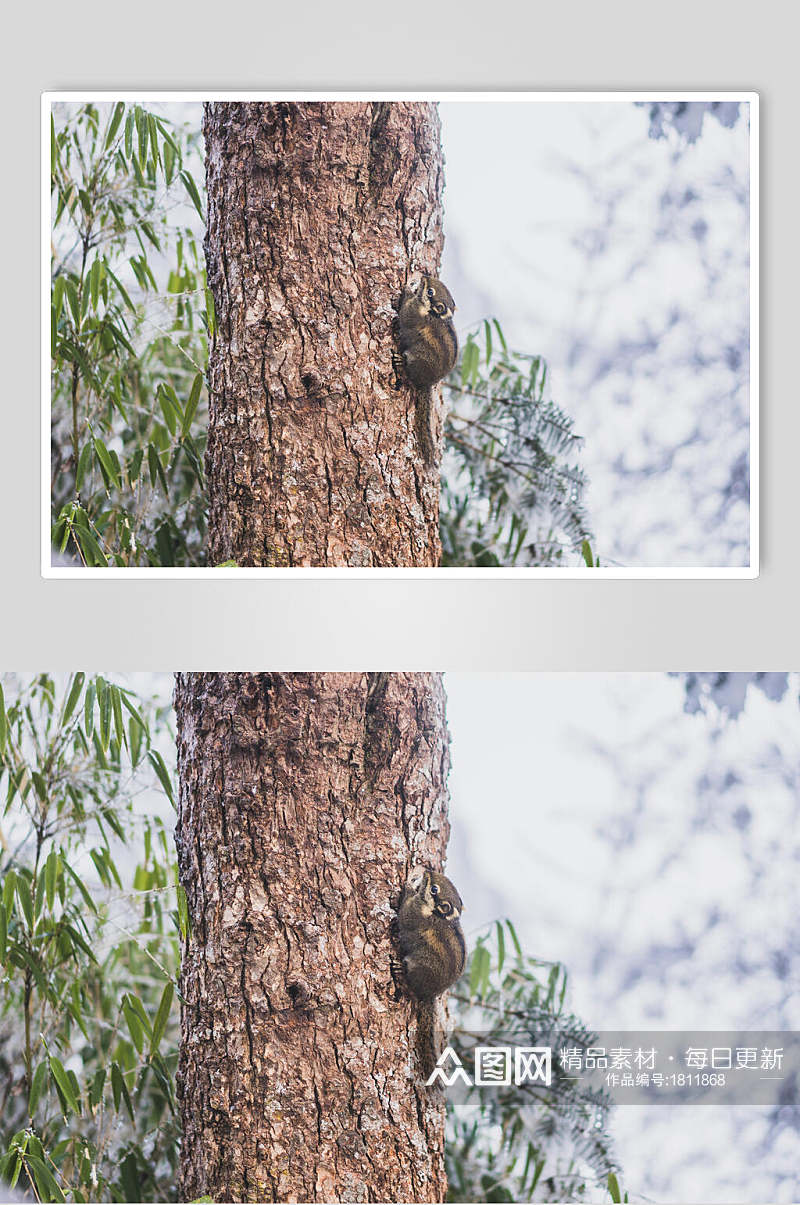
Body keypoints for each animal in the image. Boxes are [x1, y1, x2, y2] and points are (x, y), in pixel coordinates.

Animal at [392, 275, 455, 462]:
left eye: (430, 292)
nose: (424, 276)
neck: (434, 314)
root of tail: (427, 383)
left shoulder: (413, 313)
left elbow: (404, 313)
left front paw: (407, 290)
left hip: (416, 359)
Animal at [395, 867, 465, 1084]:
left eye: (434, 889)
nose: (427, 870)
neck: (439, 915)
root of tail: (431, 995)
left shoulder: (413, 913)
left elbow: (403, 913)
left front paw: (409, 887)